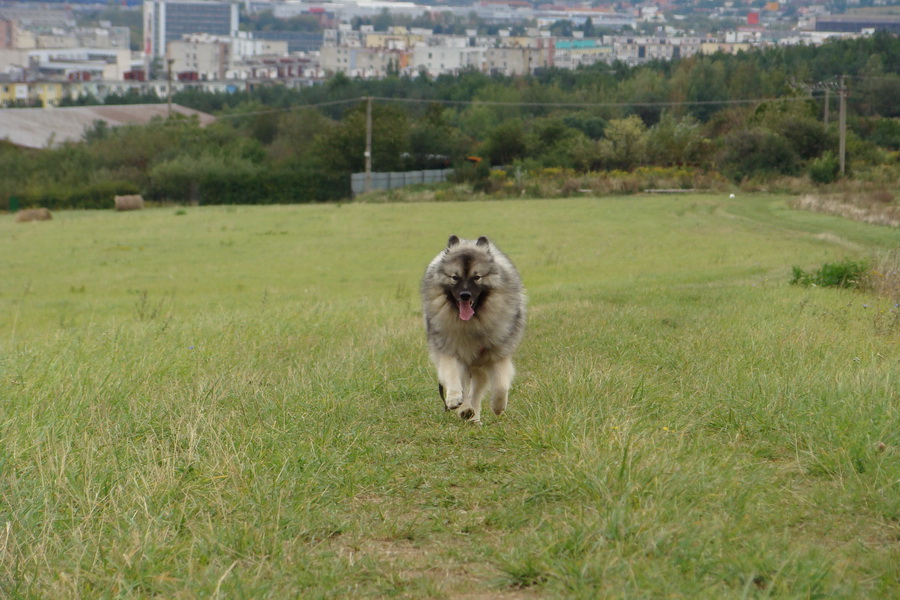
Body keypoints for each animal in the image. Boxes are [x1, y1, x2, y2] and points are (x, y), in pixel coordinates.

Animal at [422, 234, 528, 422]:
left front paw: (498, 407)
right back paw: (465, 409)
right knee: (466, 389)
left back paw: (475, 418)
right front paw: (454, 399)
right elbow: (452, 375)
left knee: (476, 394)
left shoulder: (497, 355)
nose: (465, 295)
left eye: (476, 277)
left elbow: (500, 386)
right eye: (455, 277)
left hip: (479, 368)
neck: (472, 324)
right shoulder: (450, 351)